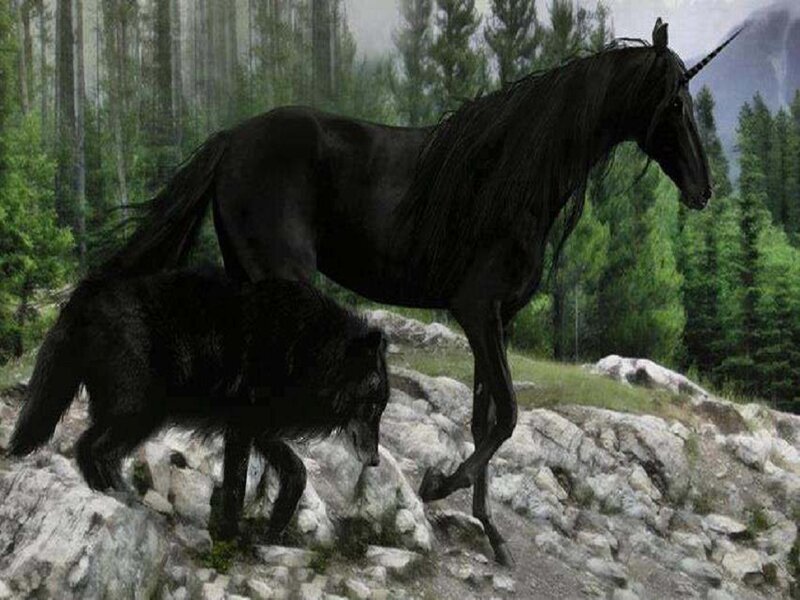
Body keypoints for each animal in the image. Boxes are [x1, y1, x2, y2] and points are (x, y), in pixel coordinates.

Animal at [8, 269, 389, 541]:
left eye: (381, 410)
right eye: (372, 409)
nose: (374, 461)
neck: (310, 349)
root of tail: (87, 291)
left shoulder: (259, 426)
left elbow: (297, 471)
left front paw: (275, 526)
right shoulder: (242, 426)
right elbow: (235, 486)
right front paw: (232, 538)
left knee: (92, 447)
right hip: (141, 413)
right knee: (89, 446)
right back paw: (120, 496)